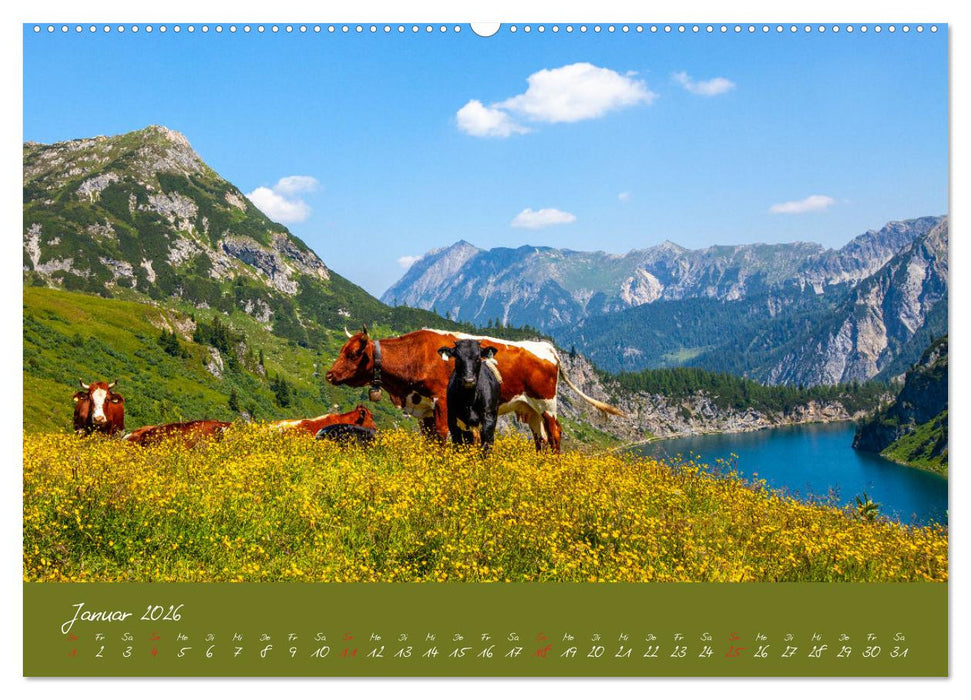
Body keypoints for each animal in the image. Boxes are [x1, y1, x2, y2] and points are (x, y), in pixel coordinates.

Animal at [325, 325, 623, 453]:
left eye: (352, 353)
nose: (329, 374)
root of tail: (545, 347)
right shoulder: (423, 409)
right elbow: (430, 441)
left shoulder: (441, 402)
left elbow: (443, 436)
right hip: (530, 408)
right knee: (540, 438)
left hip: (547, 402)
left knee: (555, 433)